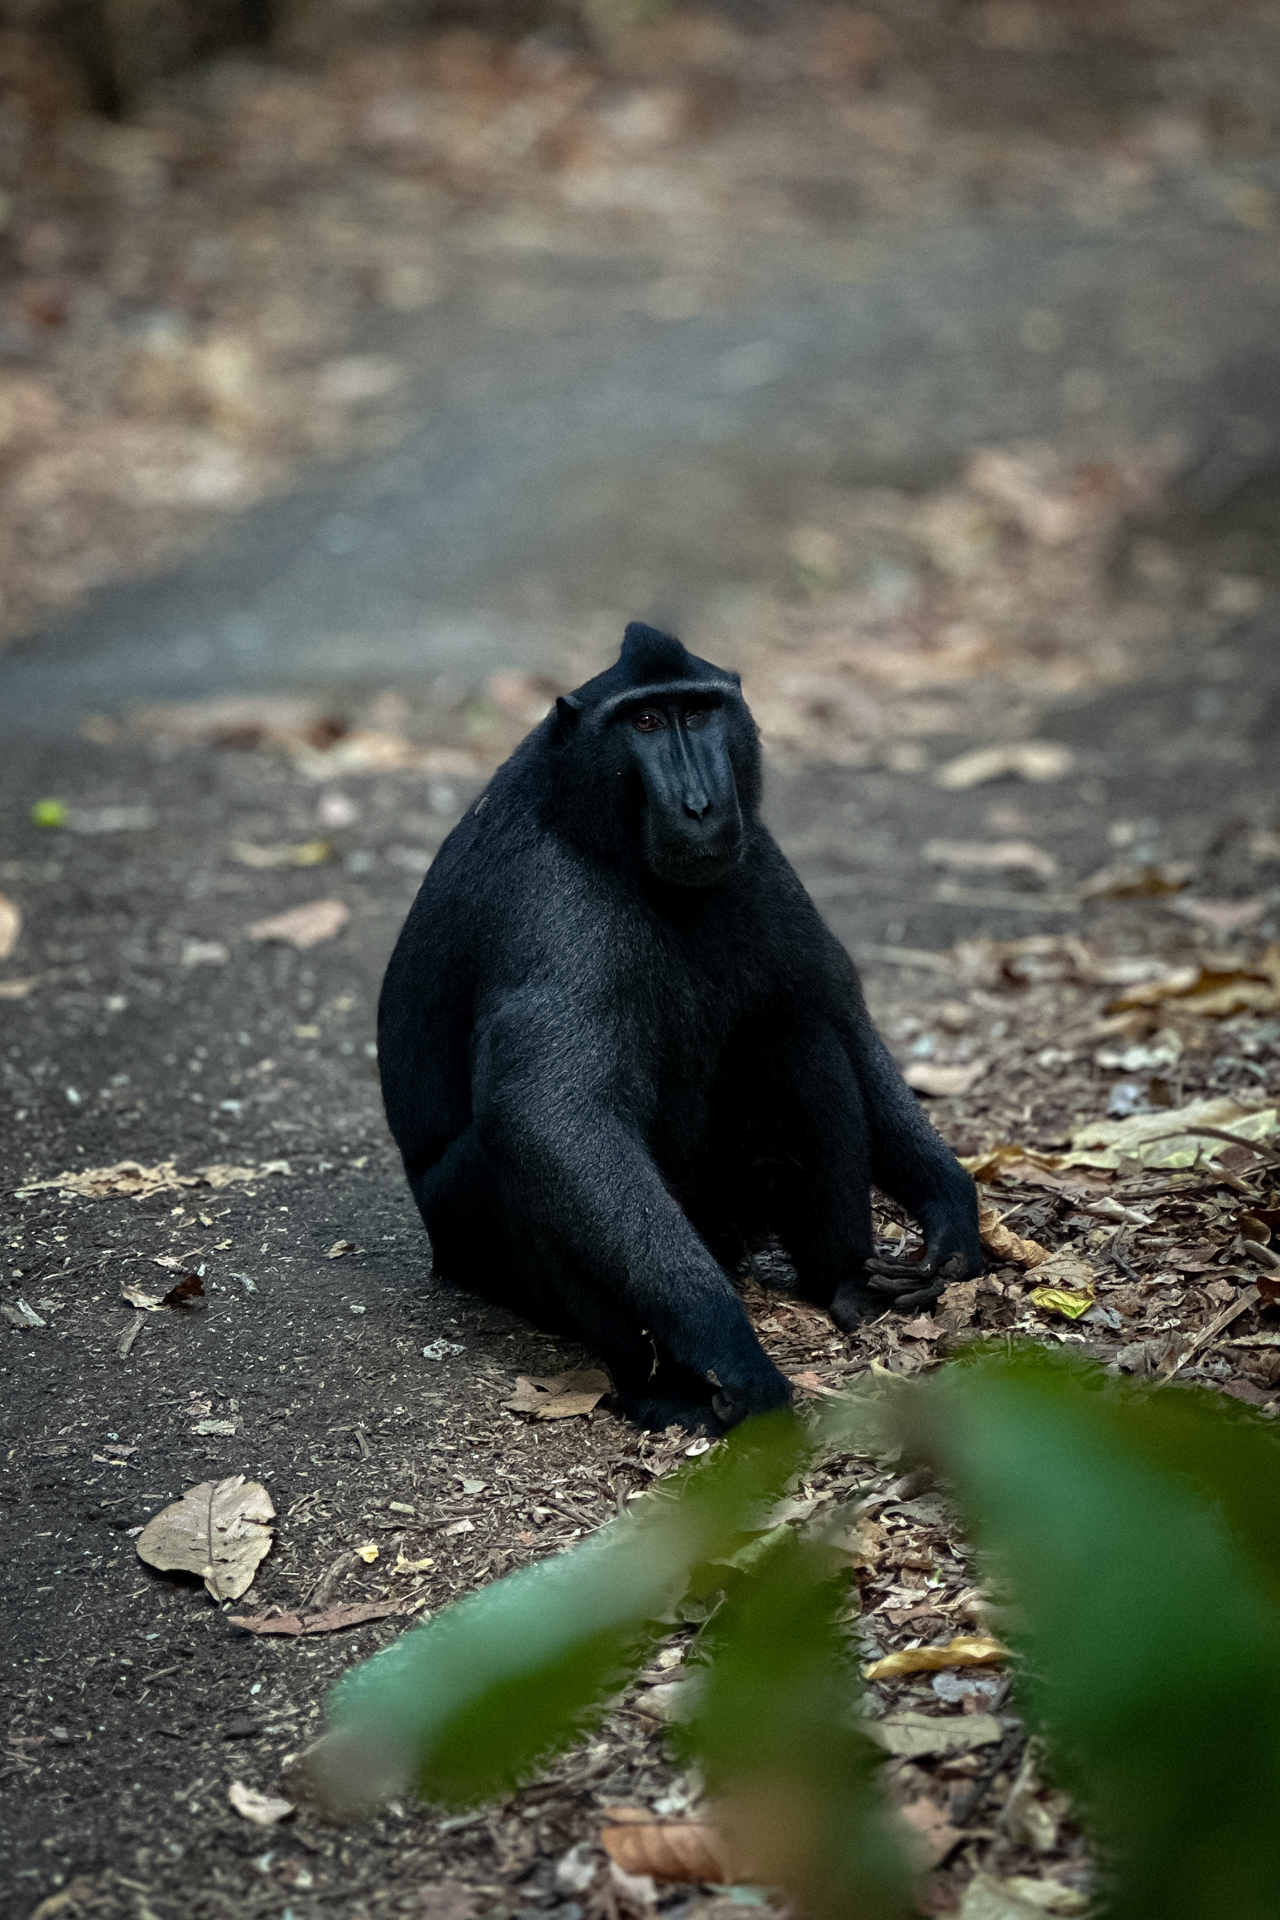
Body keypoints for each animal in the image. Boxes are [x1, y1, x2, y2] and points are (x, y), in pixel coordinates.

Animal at [378, 623, 982, 1430]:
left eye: (697, 713)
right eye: (644, 722)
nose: (698, 804)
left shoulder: (760, 860)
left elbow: (840, 1020)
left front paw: (950, 1212)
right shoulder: (553, 906)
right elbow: (553, 1119)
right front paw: (731, 1346)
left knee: (793, 1039)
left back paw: (846, 1285)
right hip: (474, 1243)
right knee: (522, 1156)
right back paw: (655, 1388)